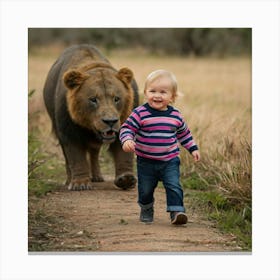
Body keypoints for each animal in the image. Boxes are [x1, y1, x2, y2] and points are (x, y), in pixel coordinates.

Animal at [43, 44, 138, 191]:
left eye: (116, 98)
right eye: (93, 99)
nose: (110, 121)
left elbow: (124, 152)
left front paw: (126, 179)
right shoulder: (68, 130)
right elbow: (76, 157)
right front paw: (80, 183)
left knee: (94, 153)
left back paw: (97, 177)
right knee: (67, 158)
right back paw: (69, 180)